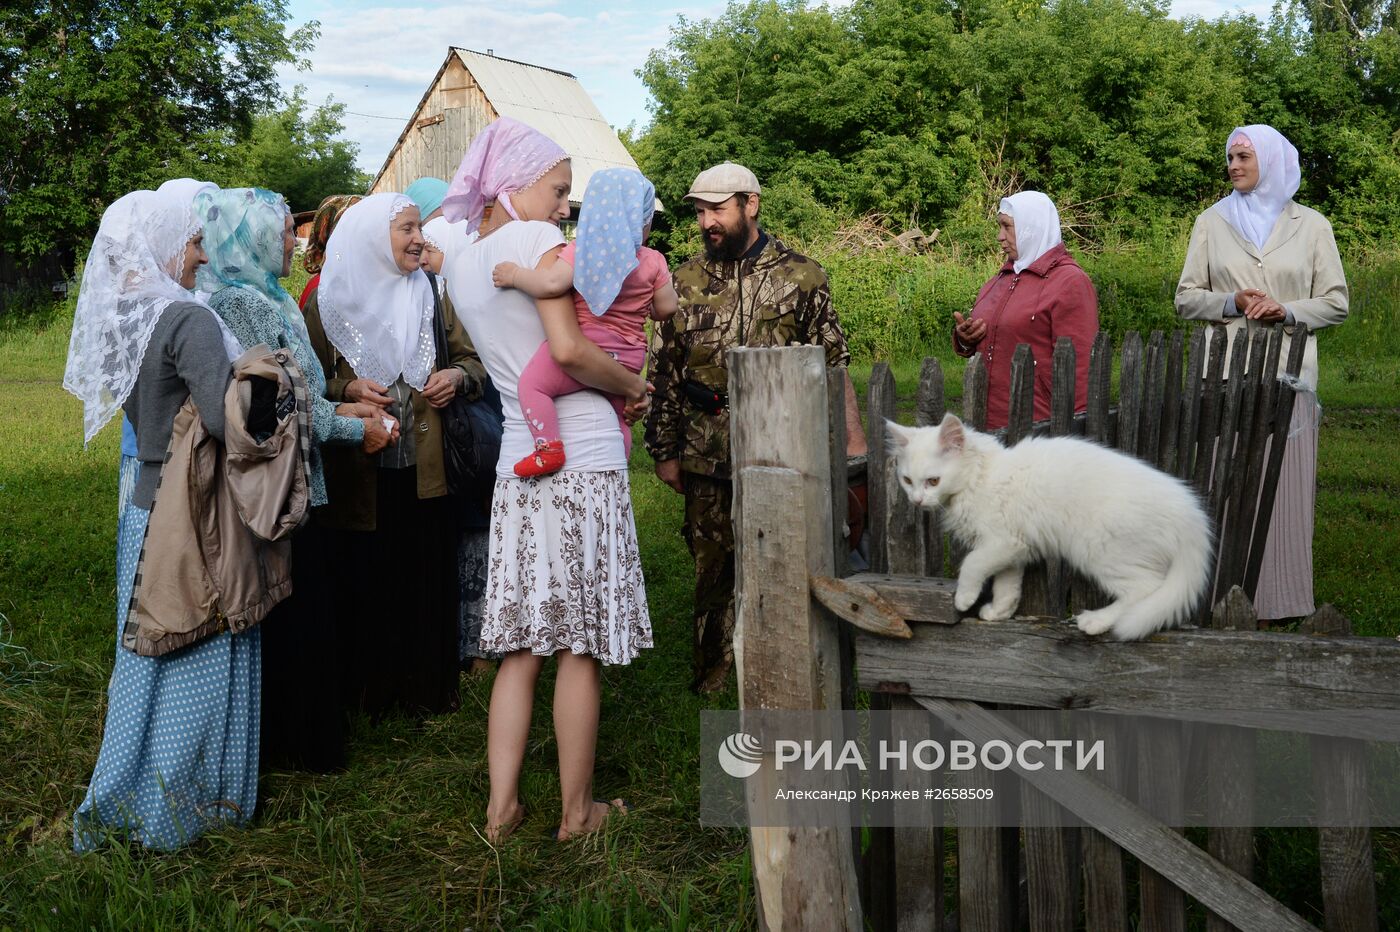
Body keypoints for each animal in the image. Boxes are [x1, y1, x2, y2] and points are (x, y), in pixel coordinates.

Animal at [890, 414, 1209, 638]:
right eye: (907, 481)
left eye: (933, 481)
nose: (917, 500)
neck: (980, 478)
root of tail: (1191, 513)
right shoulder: (1012, 547)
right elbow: (1007, 585)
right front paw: (999, 612)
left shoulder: (1000, 541)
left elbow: (972, 564)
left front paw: (964, 599)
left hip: (1099, 550)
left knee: (1146, 588)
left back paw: (1097, 621)